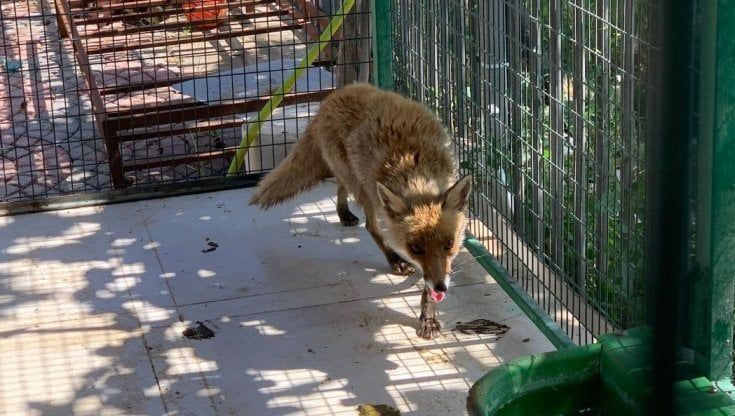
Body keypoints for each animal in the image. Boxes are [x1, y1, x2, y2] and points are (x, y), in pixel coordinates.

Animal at [249, 83, 472, 339]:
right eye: (415, 248)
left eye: (449, 244)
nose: (441, 287)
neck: (417, 173)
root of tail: (337, 94)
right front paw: (427, 313)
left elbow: (429, 285)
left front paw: (428, 316)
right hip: (363, 187)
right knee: (369, 224)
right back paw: (391, 257)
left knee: (339, 185)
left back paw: (342, 212)